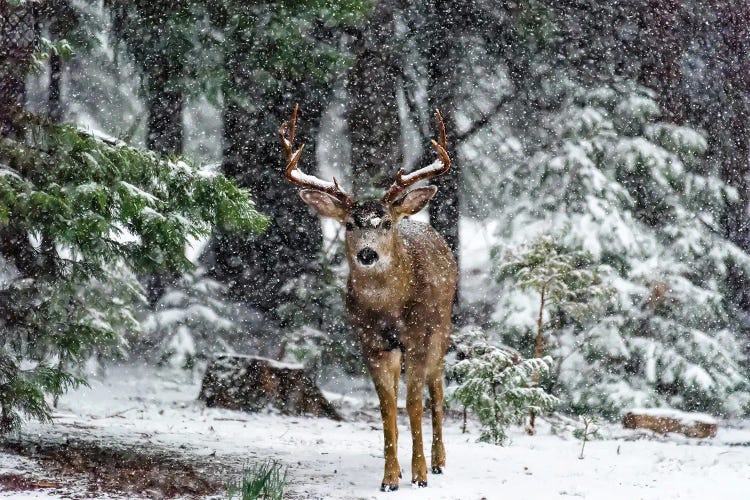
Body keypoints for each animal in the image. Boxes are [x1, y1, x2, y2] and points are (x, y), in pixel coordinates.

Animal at [282, 103, 458, 490]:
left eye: (386, 223)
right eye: (350, 224)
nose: (367, 254)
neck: (389, 308)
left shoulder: (418, 336)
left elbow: (414, 404)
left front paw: (420, 474)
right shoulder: (371, 342)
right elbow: (387, 406)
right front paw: (390, 476)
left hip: (442, 327)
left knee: (437, 391)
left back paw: (440, 461)